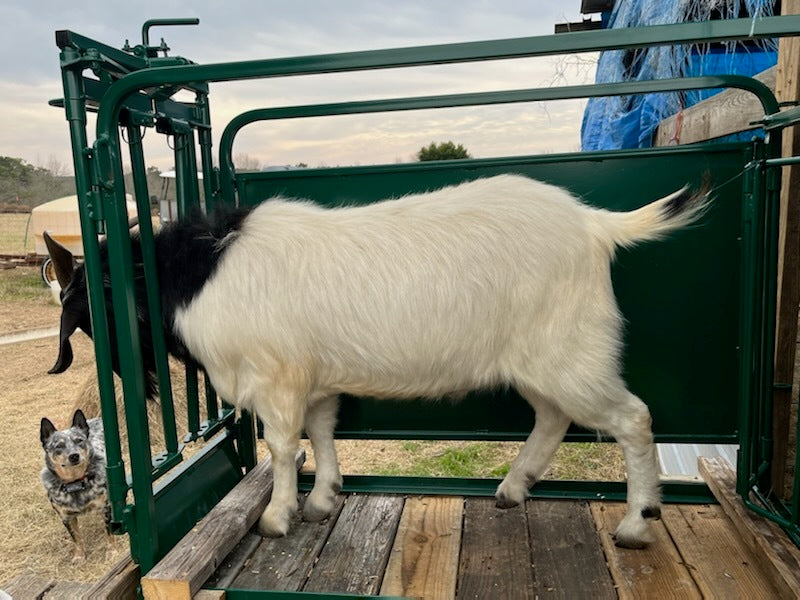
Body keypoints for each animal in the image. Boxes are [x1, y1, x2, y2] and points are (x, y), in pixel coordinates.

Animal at [45, 174, 709, 548]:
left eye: (90, 304)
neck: (200, 272)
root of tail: (596, 226)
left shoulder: (277, 377)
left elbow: (282, 446)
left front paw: (278, 517)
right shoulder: (313, 380)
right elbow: (322, 431)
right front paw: (323, 499)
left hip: (570, 353)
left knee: (632, 418)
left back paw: (636, 522)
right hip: (543, 360)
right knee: (552, 417)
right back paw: (512, 489)